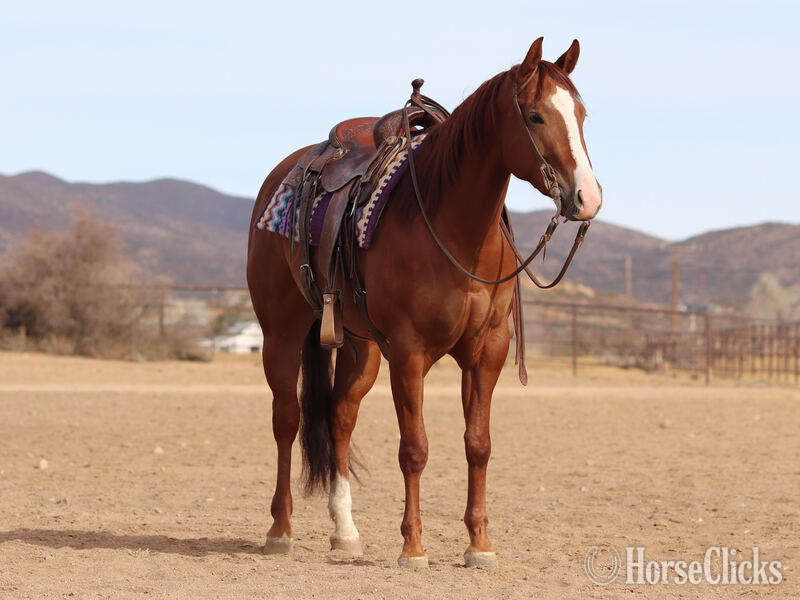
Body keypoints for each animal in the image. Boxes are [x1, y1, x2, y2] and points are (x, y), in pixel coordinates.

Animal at [246, 37, 602, 569]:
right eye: (536, 116)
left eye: (580, 114)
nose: (588, 197)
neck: (454, 230)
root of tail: (284, 174)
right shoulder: (410, 354)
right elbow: (414, 448)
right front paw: (413, 548)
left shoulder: (487, 350)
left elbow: (478, 444)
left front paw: (479, 544)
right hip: (281, 333)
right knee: (286, 419)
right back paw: (280, 530)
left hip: (361, 349)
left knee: (339, 417)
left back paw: (345, 532)